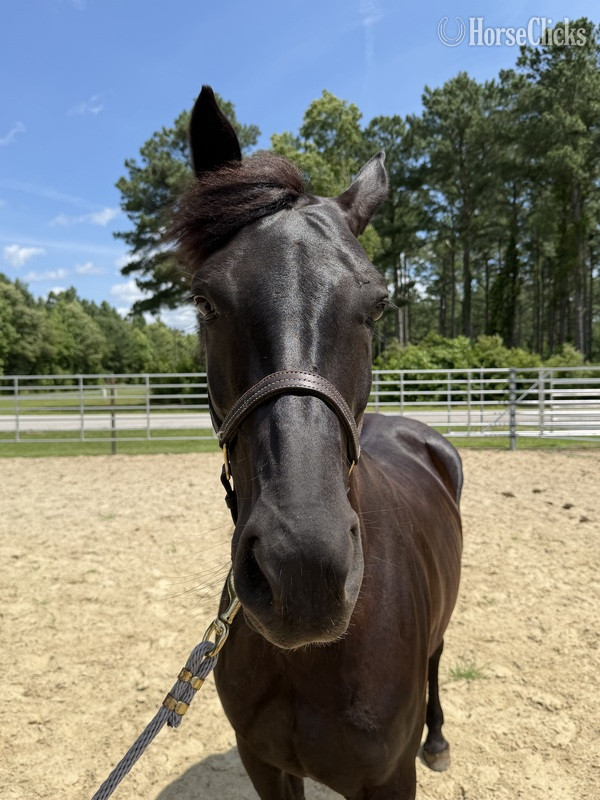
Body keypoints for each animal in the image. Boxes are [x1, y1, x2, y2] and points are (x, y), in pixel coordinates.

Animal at [169, 86, 463, 800]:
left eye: (378, 305)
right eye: (206, 300)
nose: (304, 571)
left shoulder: (388, 780)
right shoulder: (264, 762)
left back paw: (439, 740)